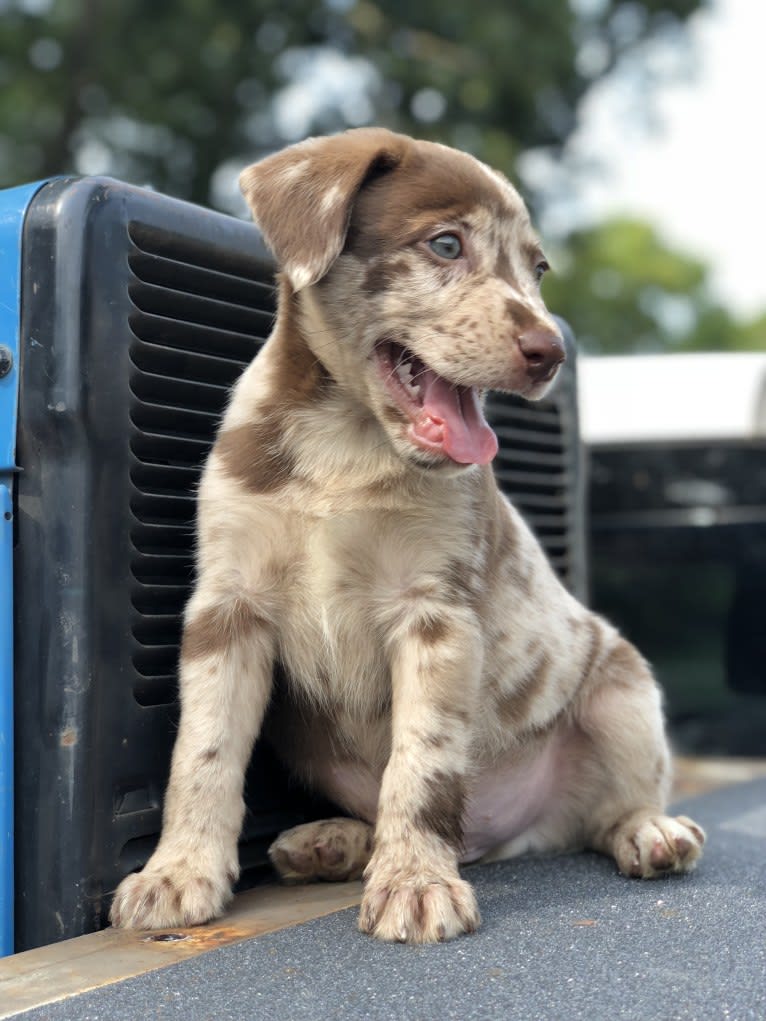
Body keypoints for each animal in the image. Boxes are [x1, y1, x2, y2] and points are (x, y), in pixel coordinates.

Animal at [109, 127, 706, 939]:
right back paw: (330, 841)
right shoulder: (227, 608)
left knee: (609, 807)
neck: (345, 441)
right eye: (446, 244)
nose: (550, 352)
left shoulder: (435, 613)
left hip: (623, 689)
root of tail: (498, 837)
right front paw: (177, 872)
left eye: (537, 270)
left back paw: (651, 831)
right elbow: (201, 753)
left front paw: (416, 883)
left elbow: (420, 765)